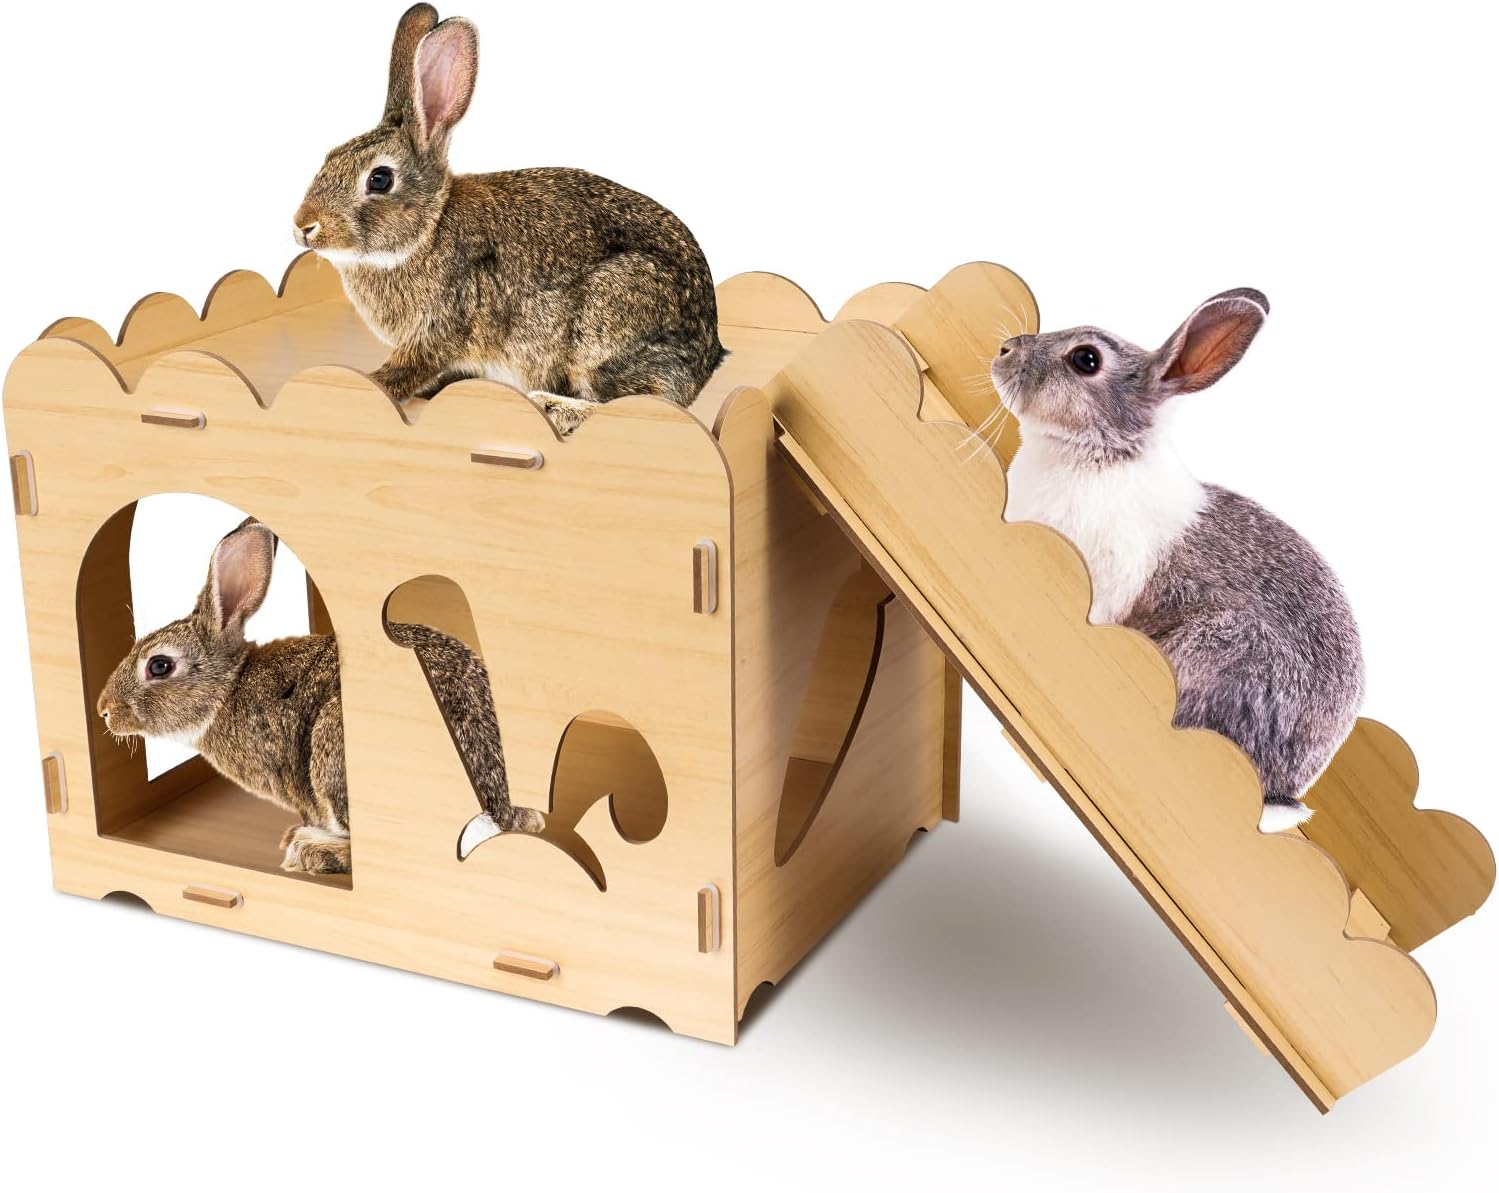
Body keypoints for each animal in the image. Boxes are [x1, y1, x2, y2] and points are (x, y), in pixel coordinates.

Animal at [94, 518, 545, 874]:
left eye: (159, 666)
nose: (103, 711)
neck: (228, 688)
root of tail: (494, 807)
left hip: (330, 753)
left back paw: (311, 850)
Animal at [291, 3, 726, 435]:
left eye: (379, 179)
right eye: (330, 156)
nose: (304, 226)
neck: (428, 229)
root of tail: (707, 357)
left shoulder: (440, 325)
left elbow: (408, 369)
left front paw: (368, 384)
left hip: (608, 324)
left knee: (640, 405)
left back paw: (553, 407)